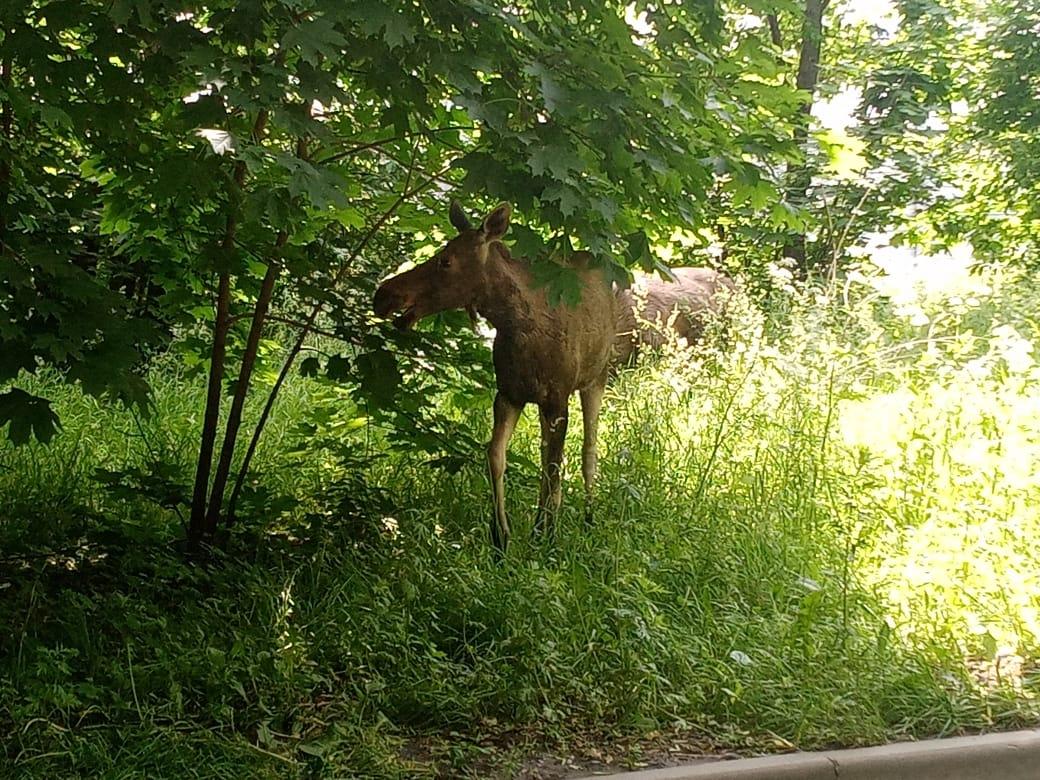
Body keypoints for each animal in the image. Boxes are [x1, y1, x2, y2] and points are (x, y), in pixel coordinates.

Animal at [374, 204, 615, 553]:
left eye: (445, 260)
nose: (384, 294)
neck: (515, 323)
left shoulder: (557, 397)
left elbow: (554, 467)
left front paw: (546, 536)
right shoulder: (508, 394)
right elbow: (496, 455)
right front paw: (502, 537)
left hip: (597, 375)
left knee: (588, 449)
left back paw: (588, 518)